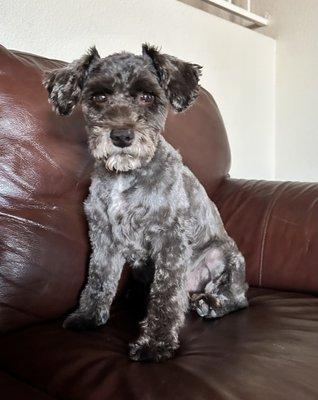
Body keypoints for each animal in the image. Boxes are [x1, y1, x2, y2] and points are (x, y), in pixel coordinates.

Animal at [43, 44, 248, 362]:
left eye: (147, 96)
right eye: (99, 96)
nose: (121, 136)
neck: (125, 176)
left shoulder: (170, 239)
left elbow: (165, 294)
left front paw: (156, 344)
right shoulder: (103, 237)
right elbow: (98, 278)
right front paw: (88, 316)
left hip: (224, 256)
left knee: (237, 298)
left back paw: (212, 304)